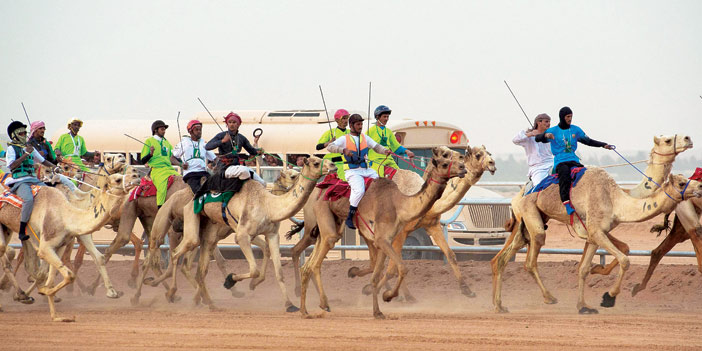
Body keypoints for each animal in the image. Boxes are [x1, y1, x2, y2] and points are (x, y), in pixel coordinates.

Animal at [0, 173, 138, 322]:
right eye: (117, 179)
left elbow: (50, 274)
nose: (136, 175)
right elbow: (67, 275)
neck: (66, 216)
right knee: (7, 252)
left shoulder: (60, 245)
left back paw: (20, 295)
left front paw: (56, 315)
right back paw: (16, 297)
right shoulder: (45, 246)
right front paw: (44, 292)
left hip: (10, 229)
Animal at [288, 146, 498, 302]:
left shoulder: (432, 225)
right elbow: (393, 266)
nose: (492, 163)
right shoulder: (401, 232)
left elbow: (451, 255)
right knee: (299, 249)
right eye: (477, 154)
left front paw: (468, 290)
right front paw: (402, 295)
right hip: (315, 224)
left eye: (487, 152)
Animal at [492, 169, 702, 314]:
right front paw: (608, 297)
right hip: (531, 215)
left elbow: (584, 268)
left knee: (504, 258)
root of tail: (518, 196)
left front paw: (584, 306)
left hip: (527, 224)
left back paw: (499, 306)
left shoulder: (594, 234)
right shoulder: (596, 231)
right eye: (682, 182)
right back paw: (549, 298)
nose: (700, 187)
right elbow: (625, 260)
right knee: (530, 259)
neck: (616, 201)